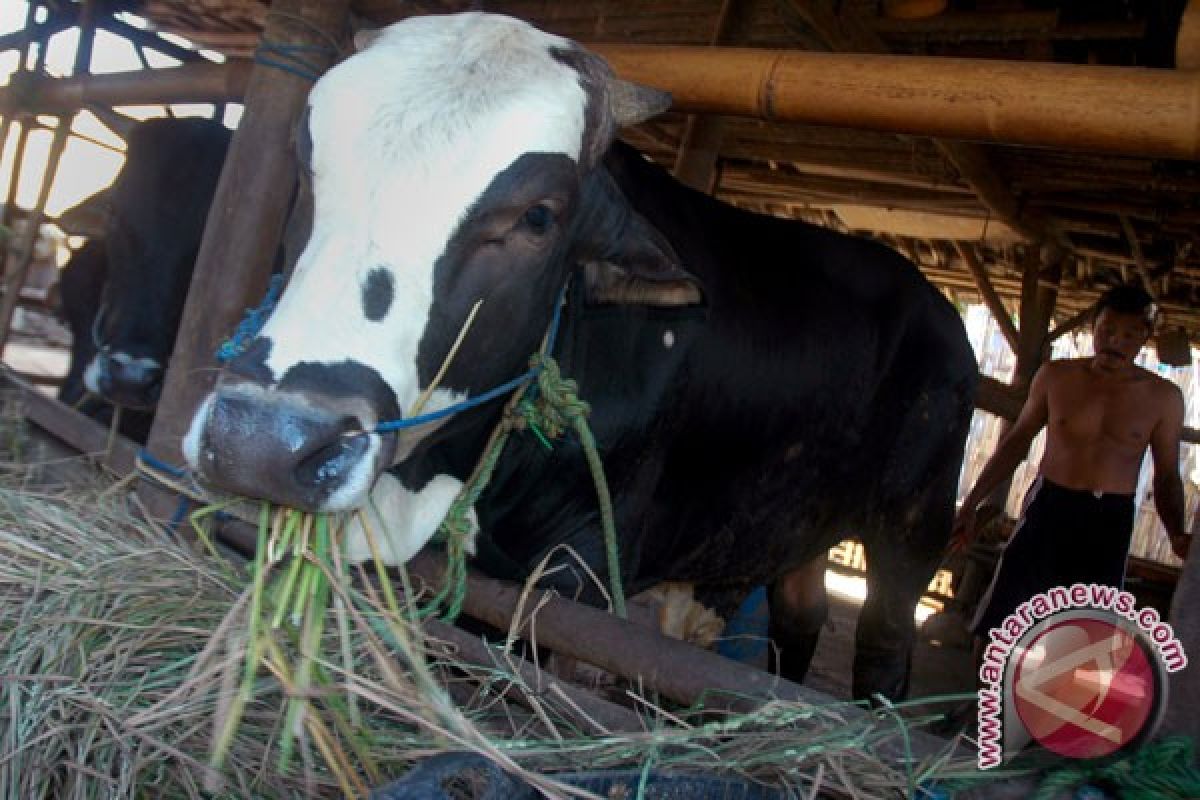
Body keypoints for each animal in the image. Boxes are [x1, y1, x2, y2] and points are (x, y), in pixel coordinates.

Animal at [184, 12, 974, 700]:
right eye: (304, 159)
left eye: (539, 217)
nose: (260, 442)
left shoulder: (579, 572)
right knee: (796, 620)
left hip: (915, 528)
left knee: (884, 645)